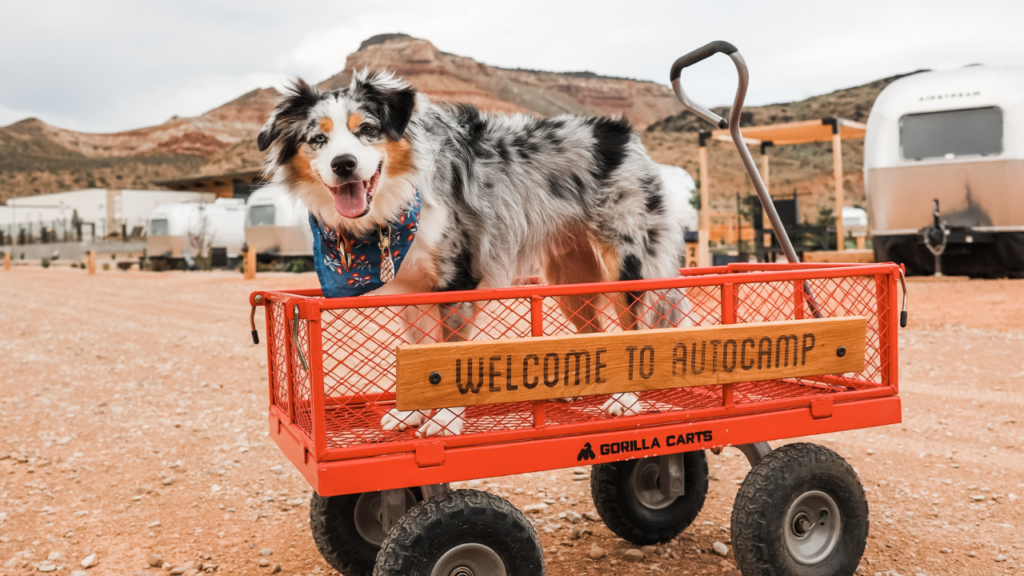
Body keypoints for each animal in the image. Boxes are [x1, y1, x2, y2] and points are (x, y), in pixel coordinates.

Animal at [258, 67, 688, 434]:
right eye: (318, 140)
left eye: (367, 130)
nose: (344, 164)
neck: (396, 200)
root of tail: (622, 132)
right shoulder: (411, 288)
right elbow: (420, 350)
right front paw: (413, 412)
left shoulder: (457, 278)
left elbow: (448, 355)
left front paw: (445, 420)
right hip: (569, 279)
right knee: (594, 331)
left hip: (627, 263)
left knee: (635, 328)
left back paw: (626, 399)